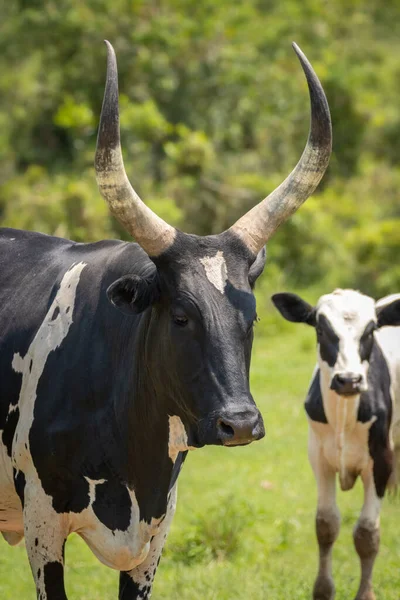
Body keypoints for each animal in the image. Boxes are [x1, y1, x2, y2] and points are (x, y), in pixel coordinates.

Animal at [272, 288, 400, 600]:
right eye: (321, 329)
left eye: (371, 330)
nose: (349, 380)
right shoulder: (318, 458)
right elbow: (326, 525)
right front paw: (323, 590)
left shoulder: (381, 460)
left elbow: (367, 534)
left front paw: (365, 594)